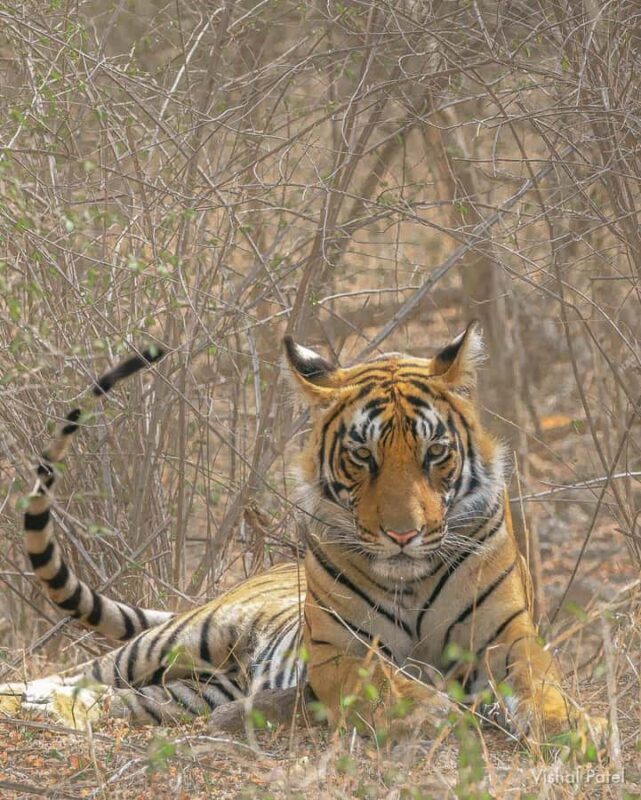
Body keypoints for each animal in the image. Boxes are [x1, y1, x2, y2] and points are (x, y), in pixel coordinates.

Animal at [0, 326, 601, 743]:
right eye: (363, 455)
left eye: (435, 453)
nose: (403, 535)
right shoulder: (342, 649)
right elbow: (392, 685)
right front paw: (438, 716)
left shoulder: (507, 637)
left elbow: (543, 687)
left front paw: (577, 727)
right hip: (177, 641)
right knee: (69, 675)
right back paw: (28, 703)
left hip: (186, 692)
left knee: (106, 695)